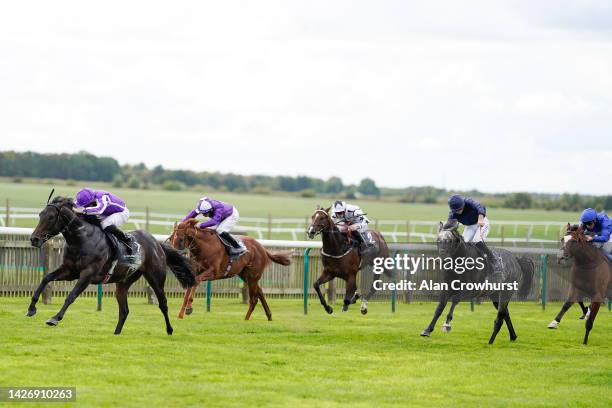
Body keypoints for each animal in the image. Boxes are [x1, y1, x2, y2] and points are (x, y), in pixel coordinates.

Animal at [27, 197, 195, 334]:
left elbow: (71, 296)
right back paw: (116, 333)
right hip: (123, 282)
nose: (34, 239)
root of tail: (157, 244)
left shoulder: (87, 274)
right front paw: (31, 308)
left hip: (156, 279)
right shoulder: (69, 271)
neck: (81, 239)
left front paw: (55, 318)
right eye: (40, 215)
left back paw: (170, 330)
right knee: (124, 310)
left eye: (51, 217)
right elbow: (46, 278)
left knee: (163, 304)